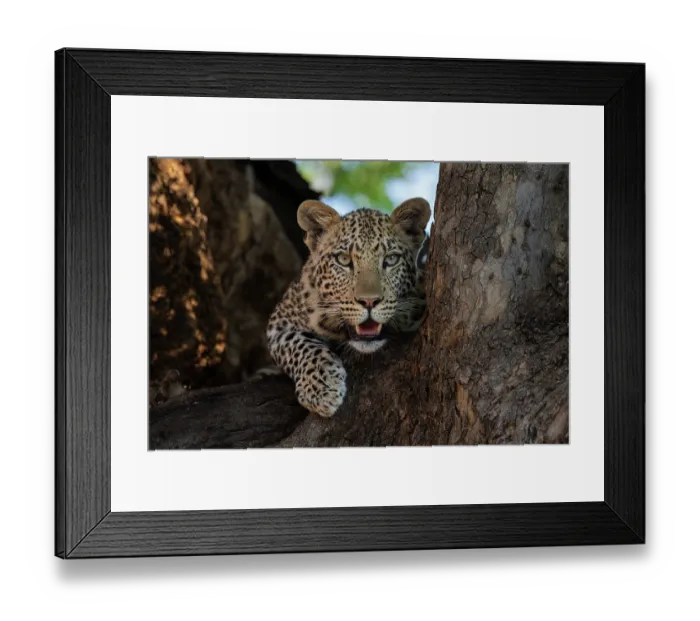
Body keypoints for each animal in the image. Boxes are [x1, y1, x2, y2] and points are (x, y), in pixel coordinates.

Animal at [266, 197, 431, 418]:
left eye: (391, 259)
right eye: (344, 260)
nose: (369, 301)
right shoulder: (280, 322)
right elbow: (299, 345)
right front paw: (321, 388)